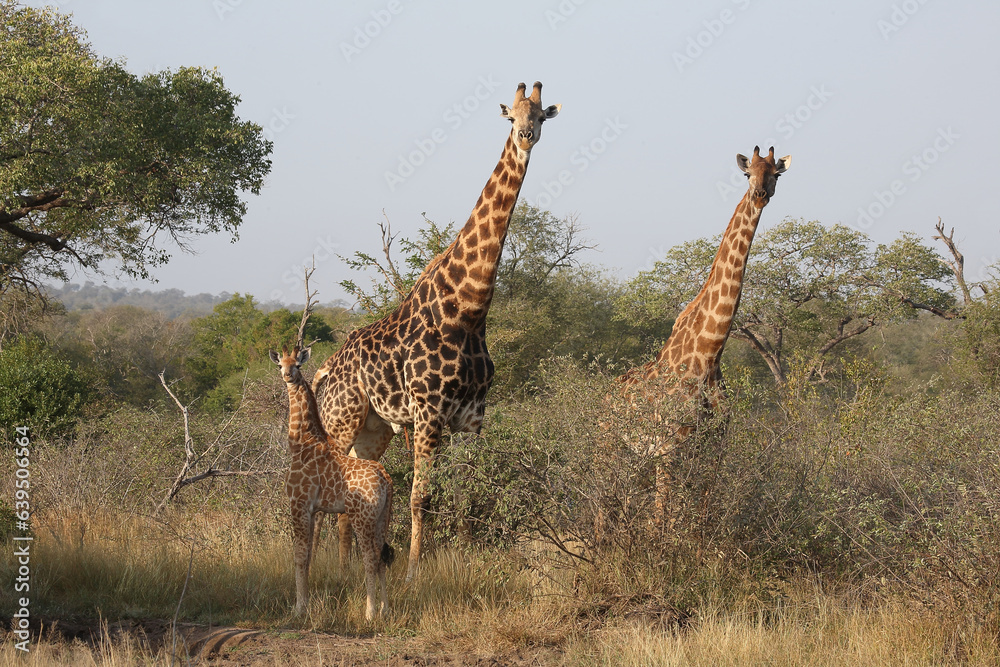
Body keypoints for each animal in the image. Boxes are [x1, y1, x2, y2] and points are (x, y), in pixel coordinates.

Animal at [271, 345, 394, 620]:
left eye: (297, 364)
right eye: (280, 364)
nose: (287, 376)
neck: (301, 442)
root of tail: (385, 478)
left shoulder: (298, 504)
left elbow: (299, 555)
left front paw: (299, 608)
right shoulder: (312, 509)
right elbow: (307, 556)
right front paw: (304, 604)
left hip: (362, 516)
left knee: (370, 558)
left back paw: (370, 613)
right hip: (382, 516)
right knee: (381, 557)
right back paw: (384, 609)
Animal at [313, 81, 560, 581]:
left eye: (542, 114)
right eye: (511, 117)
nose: (526, 137)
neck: (468, 310)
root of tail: (325, 371)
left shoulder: (471, 417)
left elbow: (469, 492)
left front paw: (466, 561)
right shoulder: (428, 413)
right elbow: (421, 496)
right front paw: (412, 573)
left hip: (373, 429)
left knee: (354, 482)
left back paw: (352, 566)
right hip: (340, 422)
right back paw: (339, 566)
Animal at [617, 146, 790, 523]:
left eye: (776, 174)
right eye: (746, 174)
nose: (760, 194)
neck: (709, 353)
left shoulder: (714, 452)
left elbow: (699, 519)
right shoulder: (668, 449)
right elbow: (660, 522)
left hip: (637, 459)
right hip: (609, 444)